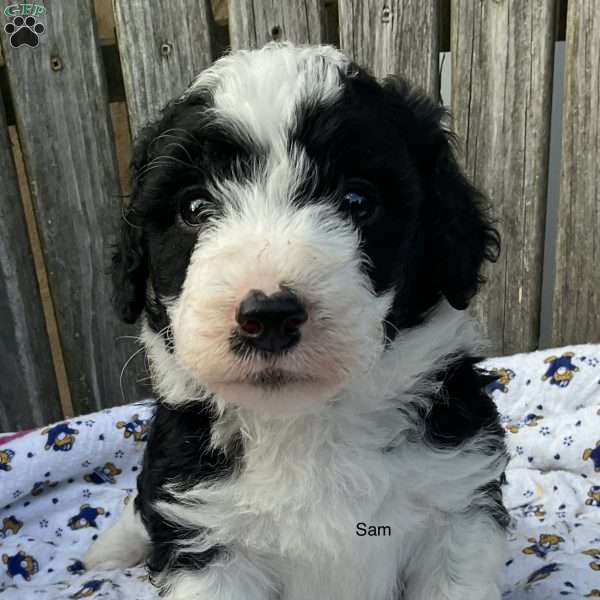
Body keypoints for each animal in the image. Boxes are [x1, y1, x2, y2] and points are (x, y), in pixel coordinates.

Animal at [85, 43, 506, 600]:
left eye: (357, 201)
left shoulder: (456, 508)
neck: (306, 426)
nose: (268, 317)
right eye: (194, 207)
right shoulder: (208, 536)